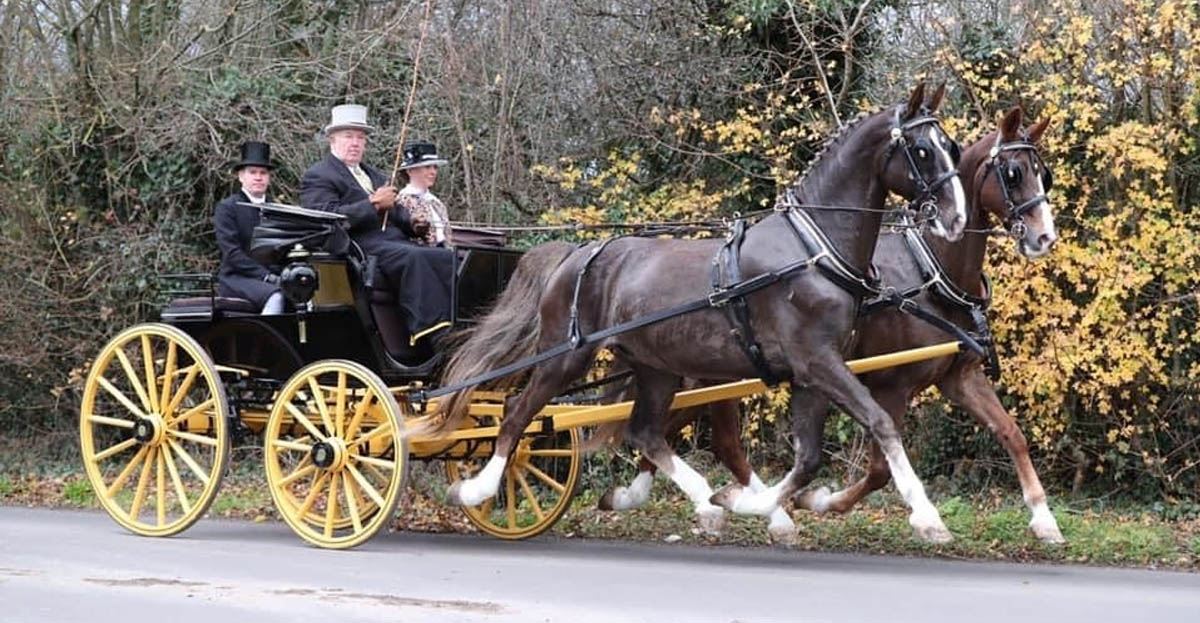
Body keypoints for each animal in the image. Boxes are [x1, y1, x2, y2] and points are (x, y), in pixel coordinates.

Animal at [420, 84, 964, 547]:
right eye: (921, 150)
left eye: (952, 147)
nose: (955, 219)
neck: (813, 249)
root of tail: (579, 253)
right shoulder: (817, 363)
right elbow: (880, 423)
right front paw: (928, 518)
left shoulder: (811, 373)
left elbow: (808, 459)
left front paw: (748, 504)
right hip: (565, 358)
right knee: (517, 415)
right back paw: (475, 490)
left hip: (655, 367)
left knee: (644, 431)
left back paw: (705, 501)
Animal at [597, 105, 1060, 542]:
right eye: (1013, 173)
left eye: (1044, 175)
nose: (1044, 237)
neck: (930, 272)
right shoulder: (891, 385)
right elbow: (879, 467)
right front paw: (826, 502)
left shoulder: (958, 376)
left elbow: (1011, 432)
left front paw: (1044, 519)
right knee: (710, 441)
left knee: (666, 432)